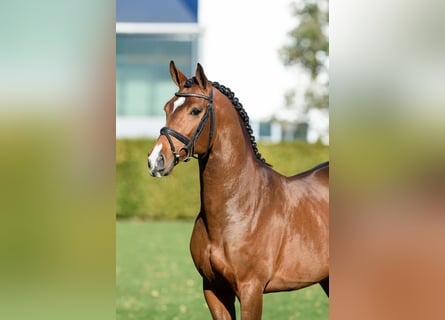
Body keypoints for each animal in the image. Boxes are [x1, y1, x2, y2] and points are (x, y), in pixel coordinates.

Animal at [147, 61, 328, 318]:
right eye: (167, 107)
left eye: (195, 111)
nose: (156, 160)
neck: (239, 208)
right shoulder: (214, 289)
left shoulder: (251, 289)